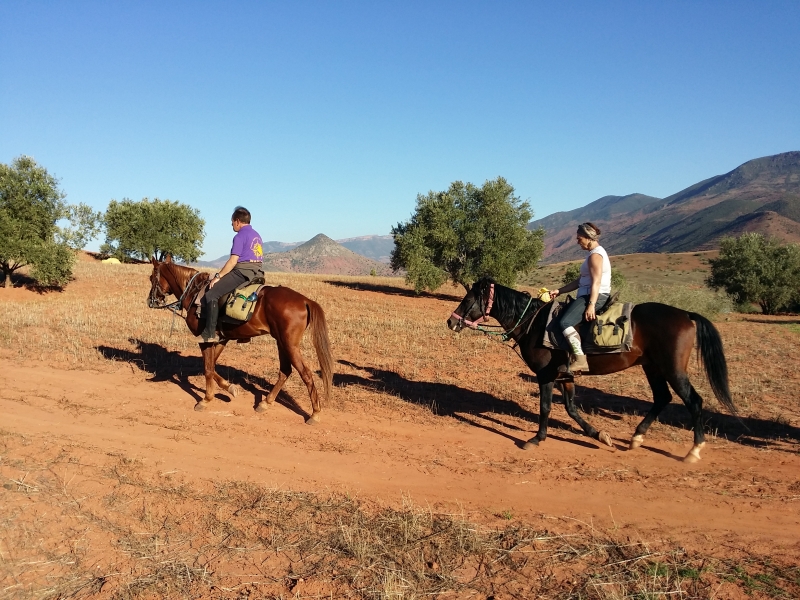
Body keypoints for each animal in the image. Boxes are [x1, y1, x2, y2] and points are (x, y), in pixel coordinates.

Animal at [148, 256, 332, 422]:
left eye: (151, 278)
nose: (150, 300)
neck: (194, 294)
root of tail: (305, 300)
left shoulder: (205, 339)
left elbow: (207, 368)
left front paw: (206, 399)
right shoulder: (221, 339)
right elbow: (211, 365)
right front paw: (229, 388)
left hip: (289, 345)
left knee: (305, 374)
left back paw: (315, 413)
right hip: (281, 343)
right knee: (285, 372)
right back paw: (265, 403)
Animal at [446, 278, 736, 462]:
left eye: (468, 299)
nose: (450, 321)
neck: (534, 322)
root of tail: (686, 314)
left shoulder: (546, 375)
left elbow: (546, 407)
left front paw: (537, 438)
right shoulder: (566, 375)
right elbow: (572, 409)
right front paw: (599, 435)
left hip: (673, 370)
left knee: (693, 401)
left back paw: (693, 451)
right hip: (653, 368)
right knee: (662, 398)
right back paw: (636, 438)